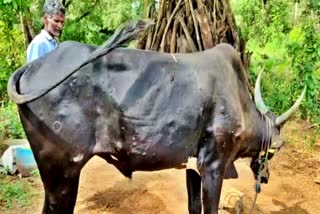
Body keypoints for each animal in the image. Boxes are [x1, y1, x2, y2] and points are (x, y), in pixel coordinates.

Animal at [6, 20, 304, 214]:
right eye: (277, 149)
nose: (265, 177)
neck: (239, 101)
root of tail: (32, 66)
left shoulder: (194, 168)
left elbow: (194, 206)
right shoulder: (214, 166)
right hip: (63, 175)